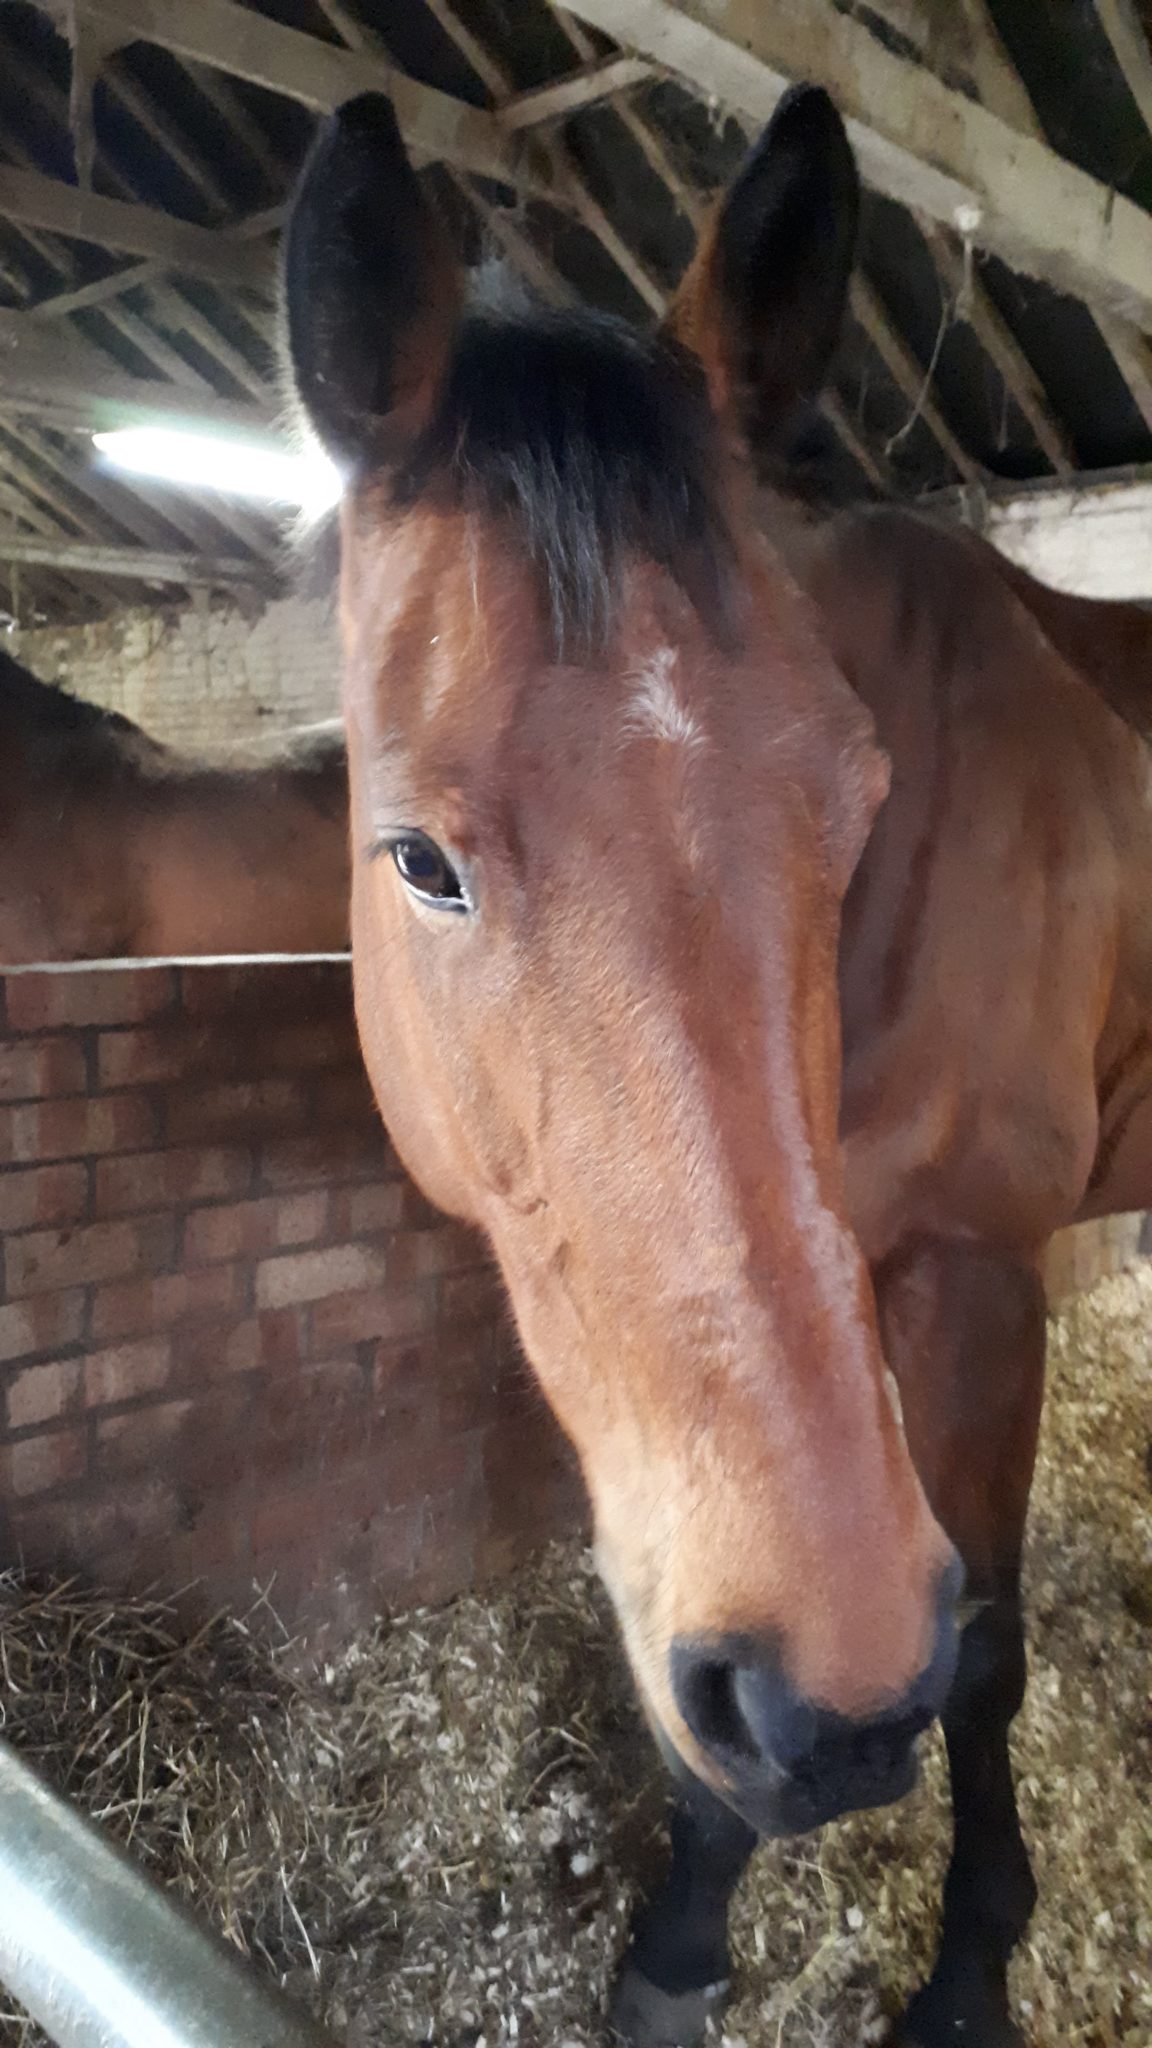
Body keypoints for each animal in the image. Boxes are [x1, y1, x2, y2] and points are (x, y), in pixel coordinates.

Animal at [282, 87, 1152, 2048]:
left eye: (855, 801)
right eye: (420, 859)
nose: (838, 1708)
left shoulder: (977, 1280)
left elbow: (985, 1648)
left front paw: (968, 1968)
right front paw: (680, 1943)